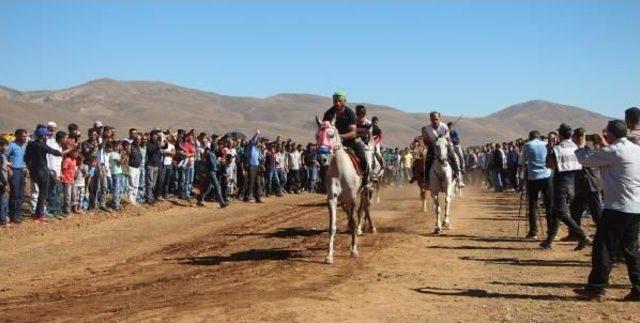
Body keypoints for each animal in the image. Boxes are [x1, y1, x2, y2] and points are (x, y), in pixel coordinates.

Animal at [314, 121, 370, 266]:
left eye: (331, 135)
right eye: (317, 136)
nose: (321, 158)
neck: (340, 170)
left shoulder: (353, 198)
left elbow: (354, 220)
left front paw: (354, 249)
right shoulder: (332, 199)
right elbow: (332, 226)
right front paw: (329, 256)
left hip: (363, 193)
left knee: (362, 210)